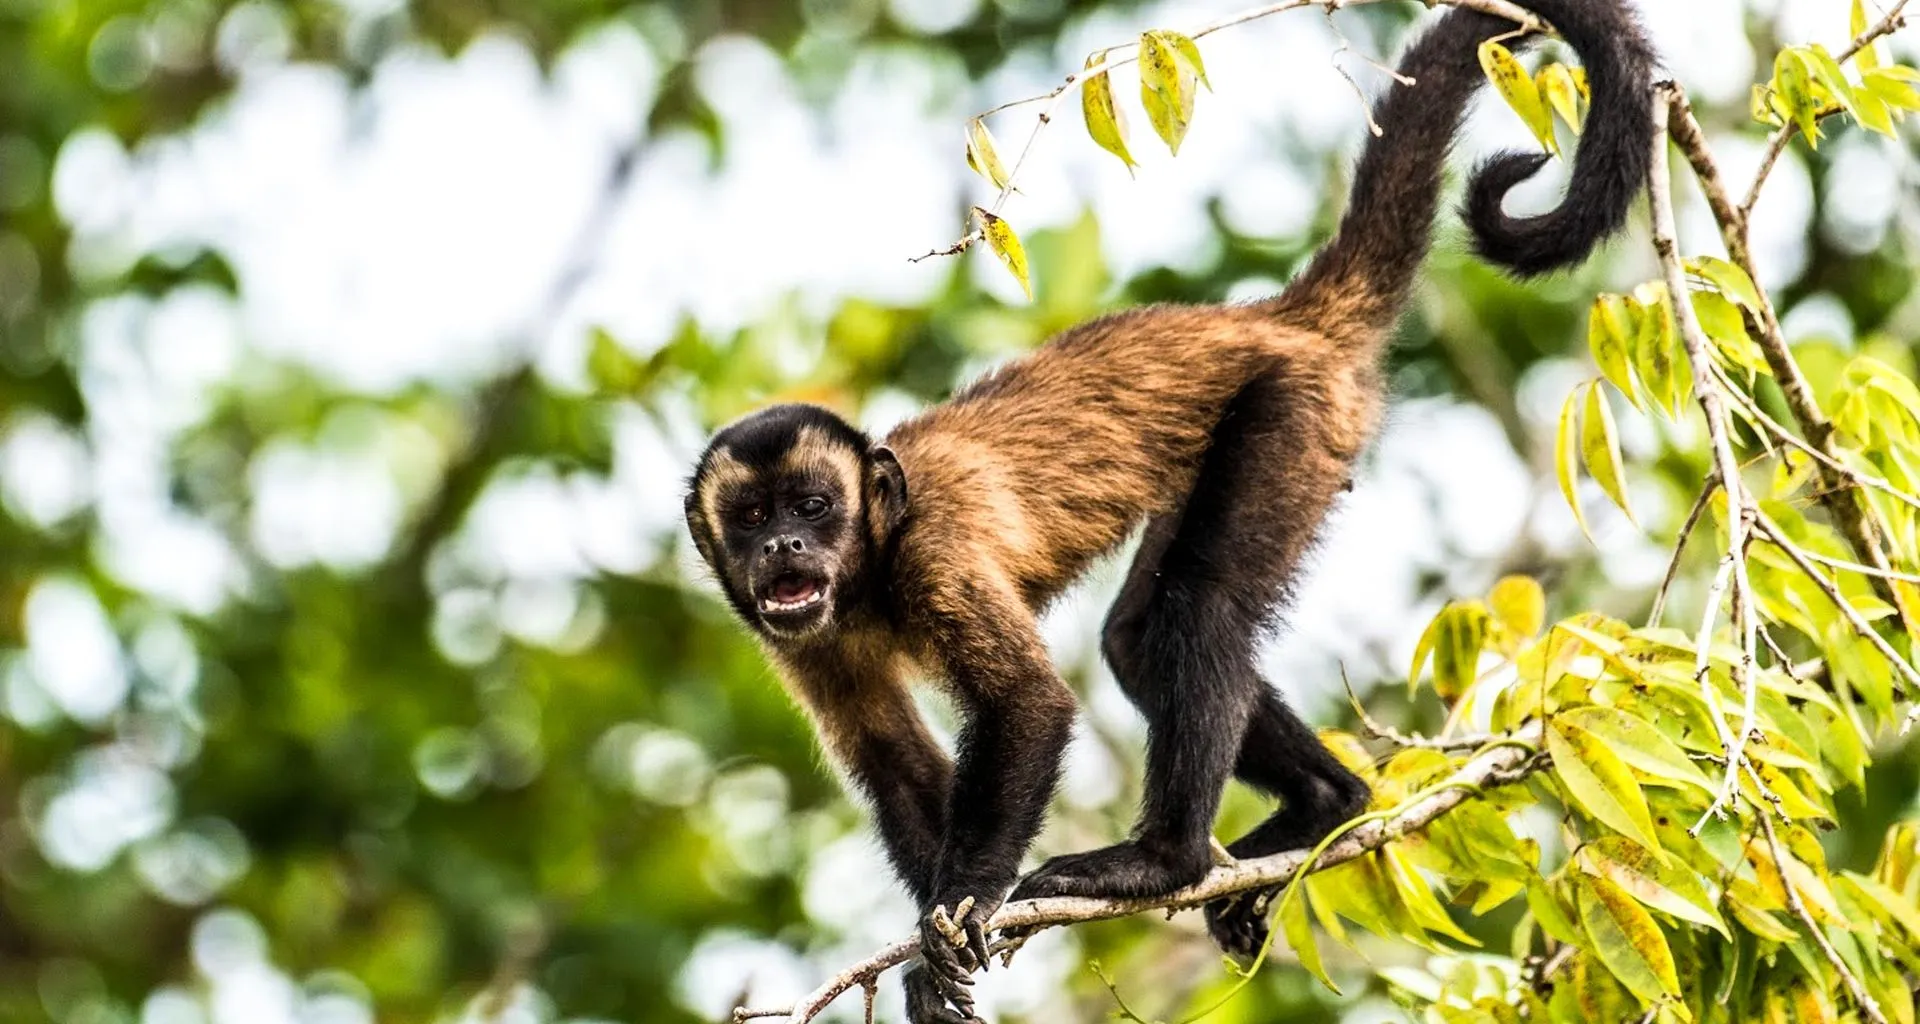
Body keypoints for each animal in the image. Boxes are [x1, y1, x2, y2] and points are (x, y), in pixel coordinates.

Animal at [683, 2, 1655, 1020]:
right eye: (751, 520)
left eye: (813, 504)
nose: (785, 545)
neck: (870, 572)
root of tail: (1276, 318)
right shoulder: (800, 643)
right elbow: (895, 767)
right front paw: (925, 948)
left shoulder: (933, 550)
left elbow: (1029, 705)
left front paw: (968, 901)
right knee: (1140, 638)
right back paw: (1328, 806)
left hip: (1293, 414)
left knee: (1200, 608)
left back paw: (1165, 861)